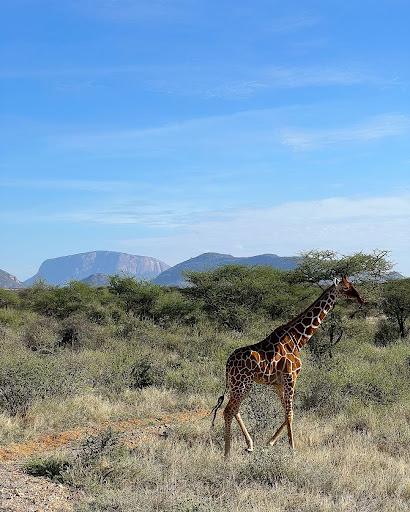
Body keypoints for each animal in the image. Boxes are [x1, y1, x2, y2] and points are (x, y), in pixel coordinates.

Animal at [213, 274, 364, 458]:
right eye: (345, 287)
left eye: (351, 284)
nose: (360, 298)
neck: (298, 339)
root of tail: (227, 364)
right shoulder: (291, 377)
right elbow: (290, 413)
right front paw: (292, 448)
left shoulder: (278, 383)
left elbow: (287, 412)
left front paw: (270, 442)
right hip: (242, 383)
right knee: (229, 410)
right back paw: (227, 454)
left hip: (240, 384)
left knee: (234, 409)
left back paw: (249, 445)